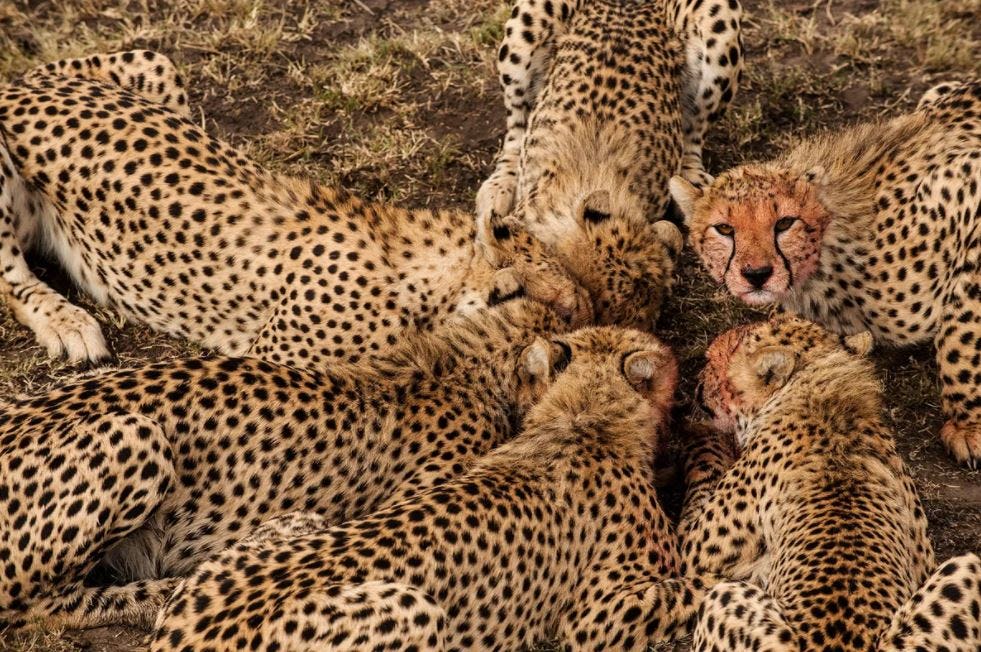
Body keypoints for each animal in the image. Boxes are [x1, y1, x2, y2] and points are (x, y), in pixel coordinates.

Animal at [0, 50, 591, 371]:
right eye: (522, 294)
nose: (585, 311)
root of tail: (19, 85)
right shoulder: (269, 361)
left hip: (155, 65)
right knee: (12, 277)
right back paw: (69, 323)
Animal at [680, 316, 981, 651]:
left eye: (710, 362)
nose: (696, 382)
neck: (819, 394)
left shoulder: (697, 552)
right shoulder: (922, 554)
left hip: (725, 594)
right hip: (967, 566)